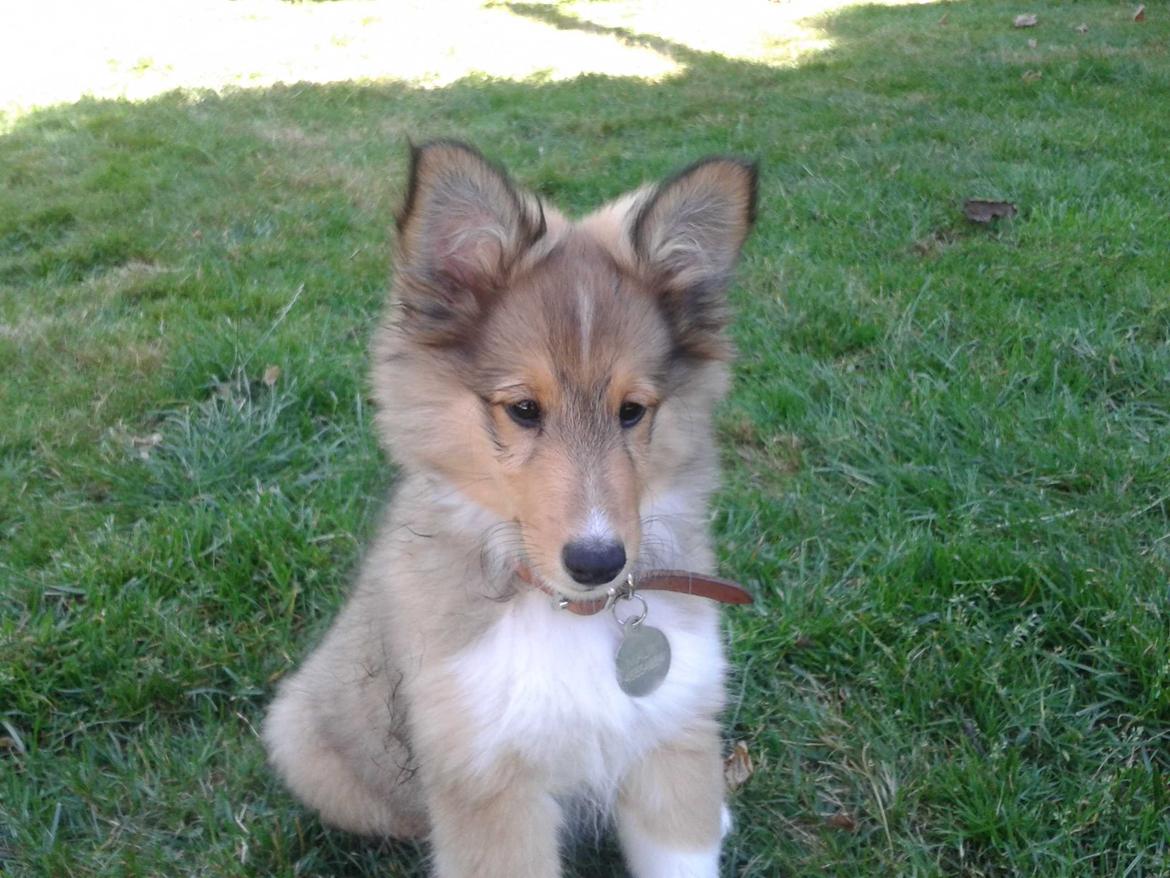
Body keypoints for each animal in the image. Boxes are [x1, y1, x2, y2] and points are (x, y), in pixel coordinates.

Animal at [263, 141, 758, 875]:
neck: (572, 615)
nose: (597, 562)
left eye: (633, 411)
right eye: (523, 409)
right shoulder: (489, 780)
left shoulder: (673, 734)